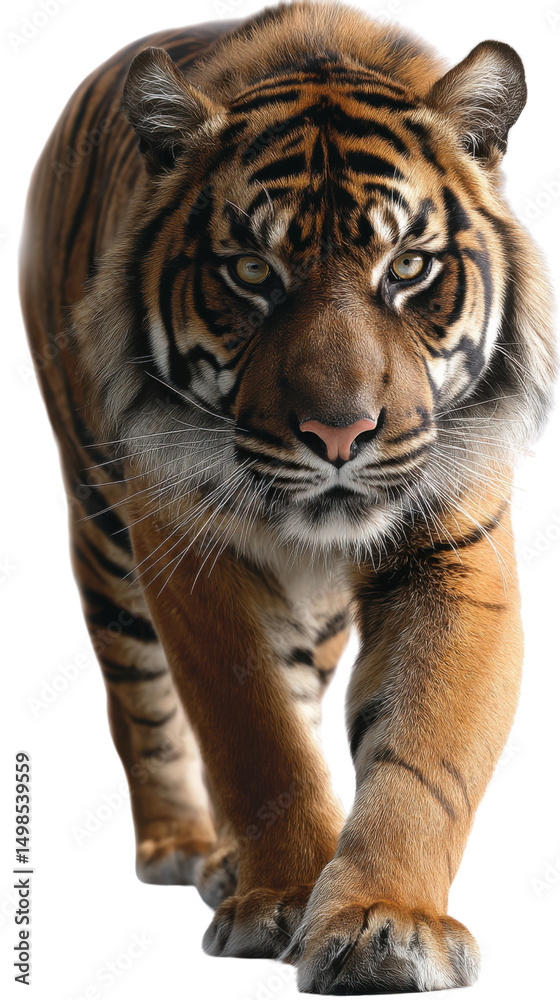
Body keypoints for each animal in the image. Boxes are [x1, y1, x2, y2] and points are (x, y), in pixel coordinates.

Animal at [19, 0, 555, 993]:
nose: (340, 435)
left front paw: (386, 922)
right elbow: (256, 736)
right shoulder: (192, 553)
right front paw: (281, 897)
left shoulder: (454, 555)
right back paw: (189, 849)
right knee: (145, 706)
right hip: (104, 531)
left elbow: (421, 753)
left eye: (408, 269)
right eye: (252, 274)